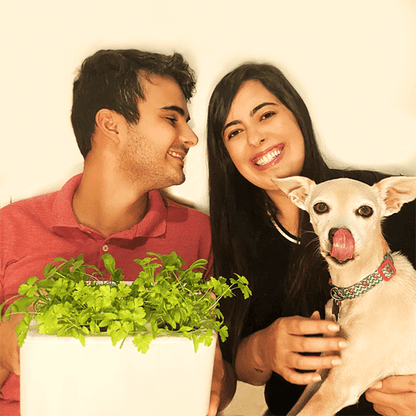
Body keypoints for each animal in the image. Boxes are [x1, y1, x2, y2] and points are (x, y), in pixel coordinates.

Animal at [272, 176, 416, 416]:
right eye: (320, 207)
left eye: (365, 210)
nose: (339, 233)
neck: (357, 290)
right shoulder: (323, 369)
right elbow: (296, 408)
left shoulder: (338, 388)